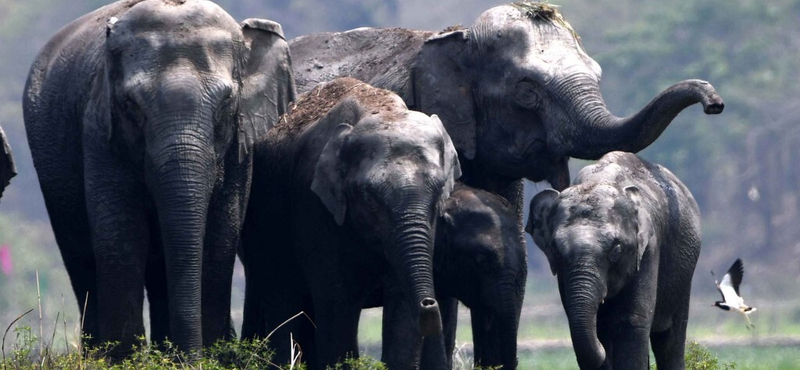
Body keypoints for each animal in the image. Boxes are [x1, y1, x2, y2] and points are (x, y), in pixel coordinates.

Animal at [23, 0, 296, 358]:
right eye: (131, 104)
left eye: (226, 103)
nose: (191, 360)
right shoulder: (98, 131)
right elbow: (120, 237)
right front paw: (124, 359)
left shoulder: (241, 145)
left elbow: (221, 237)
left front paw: (208, 356)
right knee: (81, 259)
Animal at [241, 76, 460, 370]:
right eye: (369, 199)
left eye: (438, 195)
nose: (429, 303)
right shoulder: (314, 206)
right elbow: (337, 303)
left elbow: (402, 304)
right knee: (283, 297)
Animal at [528, 151, 704, 370]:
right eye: (555, 250)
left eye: (616, 250)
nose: (602, 351)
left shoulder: (649, 248)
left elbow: (631, 321)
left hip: (684, 274)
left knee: (670, 340)